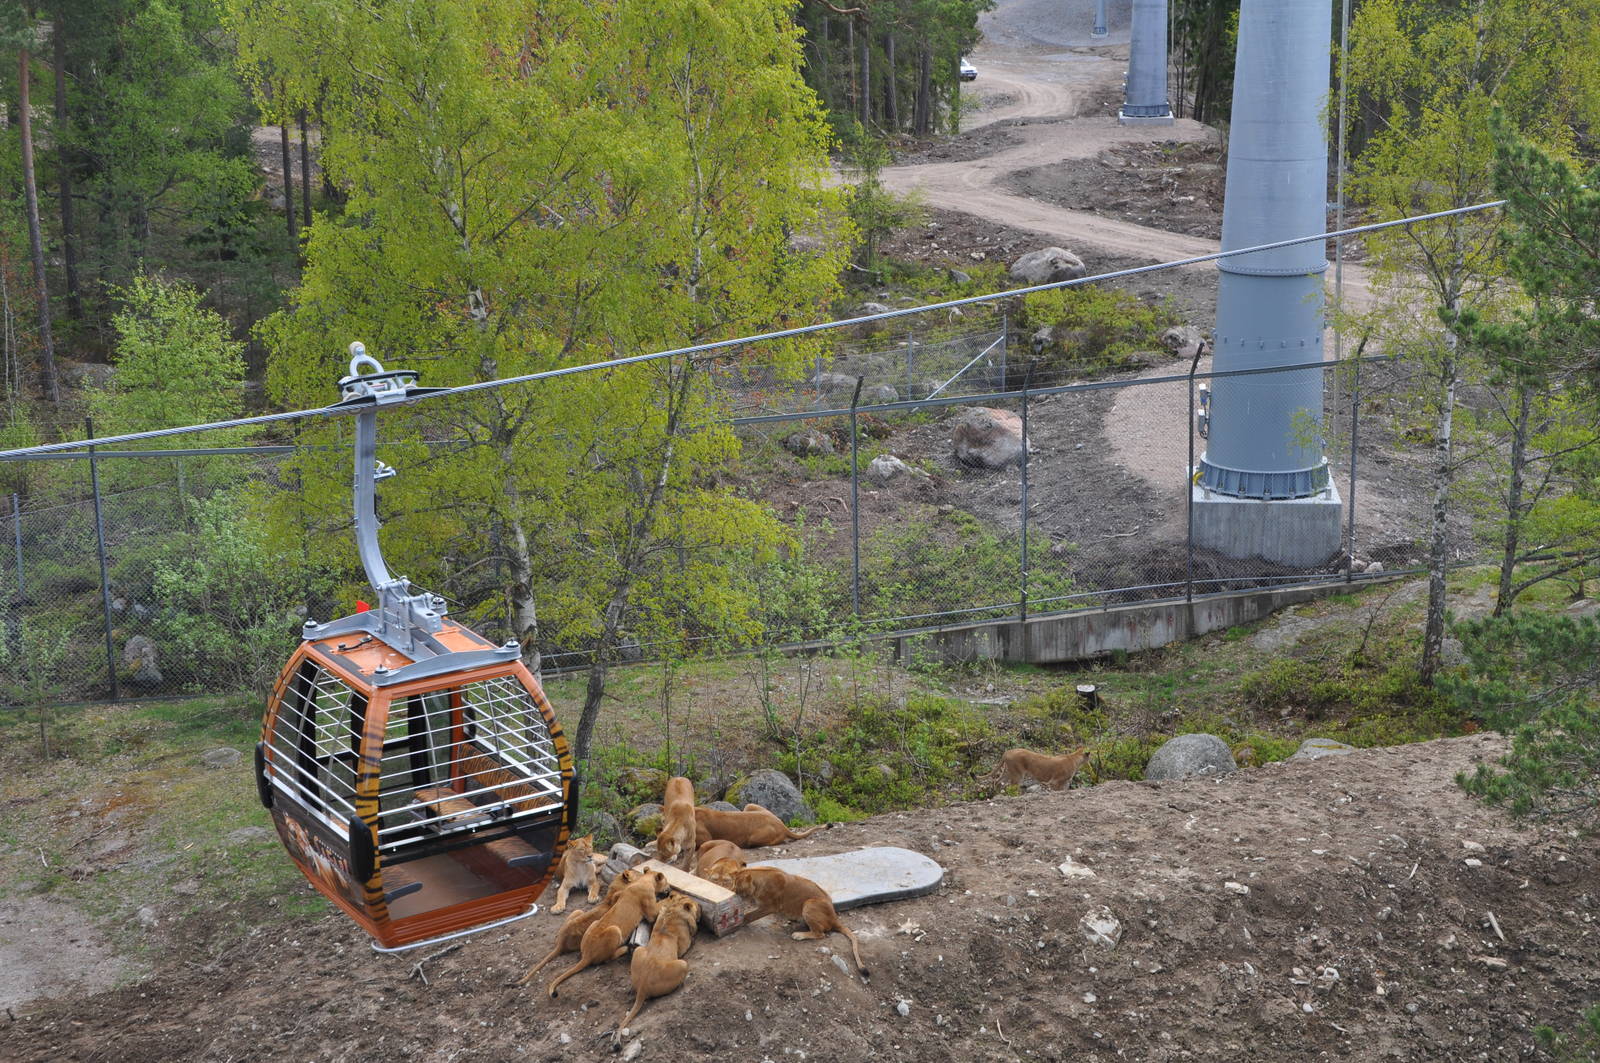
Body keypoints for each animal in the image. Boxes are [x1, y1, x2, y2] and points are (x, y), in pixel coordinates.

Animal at [614, 894, 701, 1042]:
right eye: (693, 902)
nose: (700, 906)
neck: (673, 911)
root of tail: (643, 987)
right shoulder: (683, 946)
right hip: (682, 964)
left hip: (639, 951)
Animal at [701, 860, 868, 978]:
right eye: (713, 880)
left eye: (727, 881)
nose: (719, 888)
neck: (755, 877)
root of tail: (834, 917)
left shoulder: (770, 906)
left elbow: (750, 915)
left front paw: (739, 921)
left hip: (809, 904)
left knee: (821, 933)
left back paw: (799, 935)